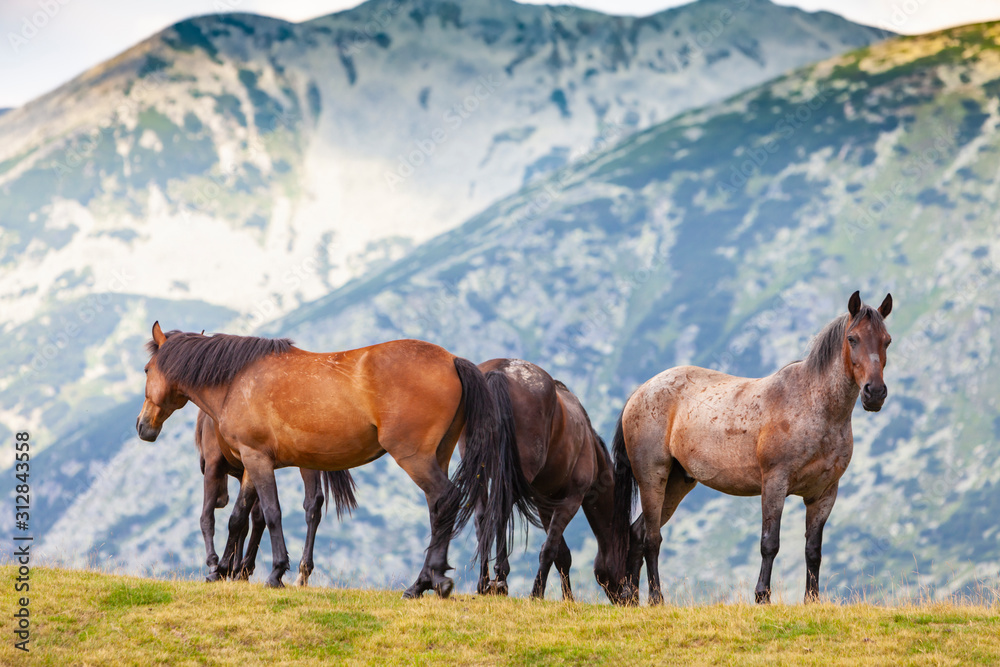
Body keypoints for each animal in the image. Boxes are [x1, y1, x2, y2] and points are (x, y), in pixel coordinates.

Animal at [193, 410, 357, 586]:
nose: (222, 500)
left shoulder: (214, 464)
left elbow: (208, 518)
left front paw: (216, 565)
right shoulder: (249, 469)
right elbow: (247, 519)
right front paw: (237, 569)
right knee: (313, 502)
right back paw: (301, 573)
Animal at [456, 359, 625, 602]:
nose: (630, 598)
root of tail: (500, 370)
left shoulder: (545, 503)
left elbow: (561, 554)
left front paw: (567, 598)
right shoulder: (571, 500)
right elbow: (550, 550)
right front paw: (537, 594)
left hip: (481, 473)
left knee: (482, 518)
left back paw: (484, 581)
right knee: (499, 514)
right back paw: (501, 578)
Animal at [610, 291, 892, 605]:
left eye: (887, 340)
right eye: (853, 338)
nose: (875, 393)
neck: (814, 405)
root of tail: (641, 391)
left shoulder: (823, 494)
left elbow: (813, 550)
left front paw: (812, 600)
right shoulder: (775, 483)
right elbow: (770, 543)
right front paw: (762, 596)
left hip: (677, 483)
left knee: (638, 533)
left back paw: (631, 597)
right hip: (653, 478)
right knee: (651, 538)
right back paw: (656, 599)